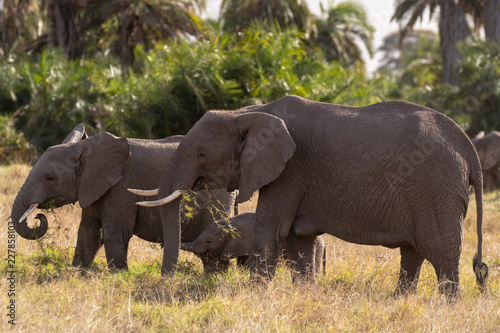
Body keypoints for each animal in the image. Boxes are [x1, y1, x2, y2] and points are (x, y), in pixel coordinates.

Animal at [6, 123, 236, 274]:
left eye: (50, 178)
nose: (38, 217)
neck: (84, 149)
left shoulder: (121, 187)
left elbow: (114, 233)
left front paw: (119, 277)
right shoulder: (94, 188)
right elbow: (87, 234)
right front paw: (77, 274)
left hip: (216, 200)